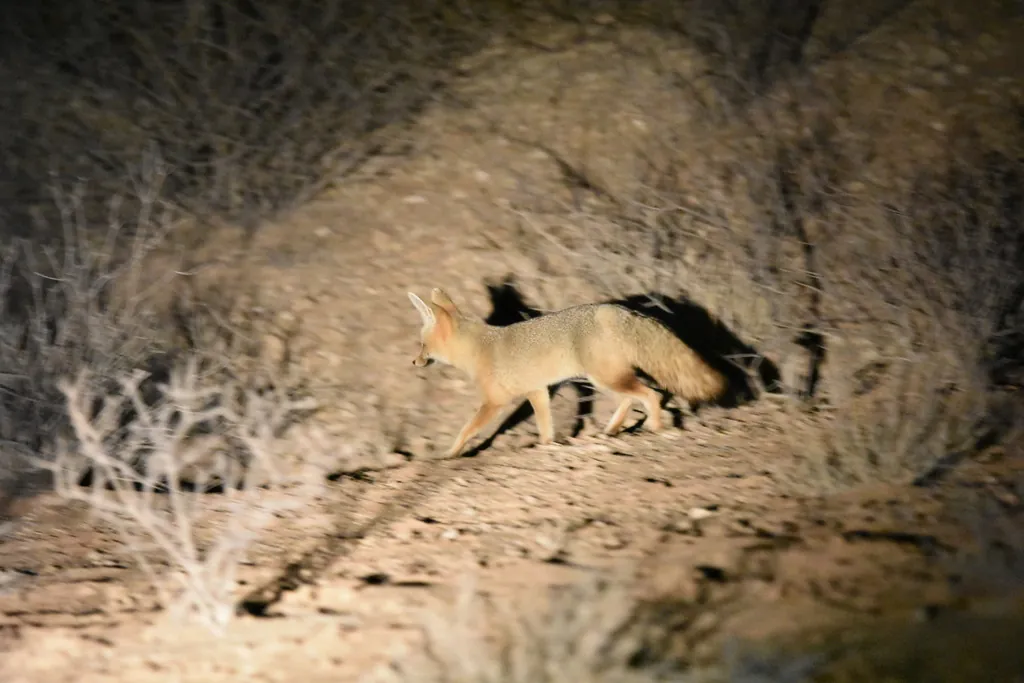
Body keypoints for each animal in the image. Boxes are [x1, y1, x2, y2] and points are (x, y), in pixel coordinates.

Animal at [407, 288, 727, 458]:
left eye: (422, 346)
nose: (413, 362)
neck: (480, 348)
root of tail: (615, 309)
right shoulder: (537, 391)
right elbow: (545, 425)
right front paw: (547, 445)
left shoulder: (495, 402)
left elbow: (467, 429)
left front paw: (450, 453)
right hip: (605, 379)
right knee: (631, 399)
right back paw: (611, 431)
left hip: (605, 378)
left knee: (649, 395)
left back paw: (655, 427)